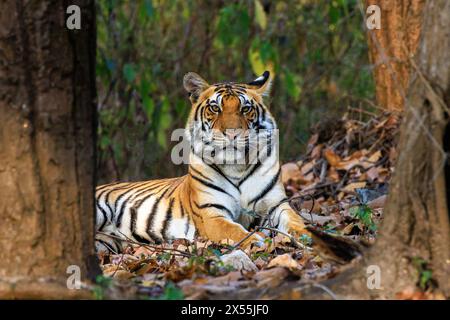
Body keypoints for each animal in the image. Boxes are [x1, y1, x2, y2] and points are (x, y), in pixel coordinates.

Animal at [95, 71, 310, 254]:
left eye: (245, 109)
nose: (232, 133)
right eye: (215, 108)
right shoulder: (211, 214)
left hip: (107, 241)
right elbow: (235, 230)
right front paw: (257, 241)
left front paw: (310, 236)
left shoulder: (276, 205)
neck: (237, 166)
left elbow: (296, 222)